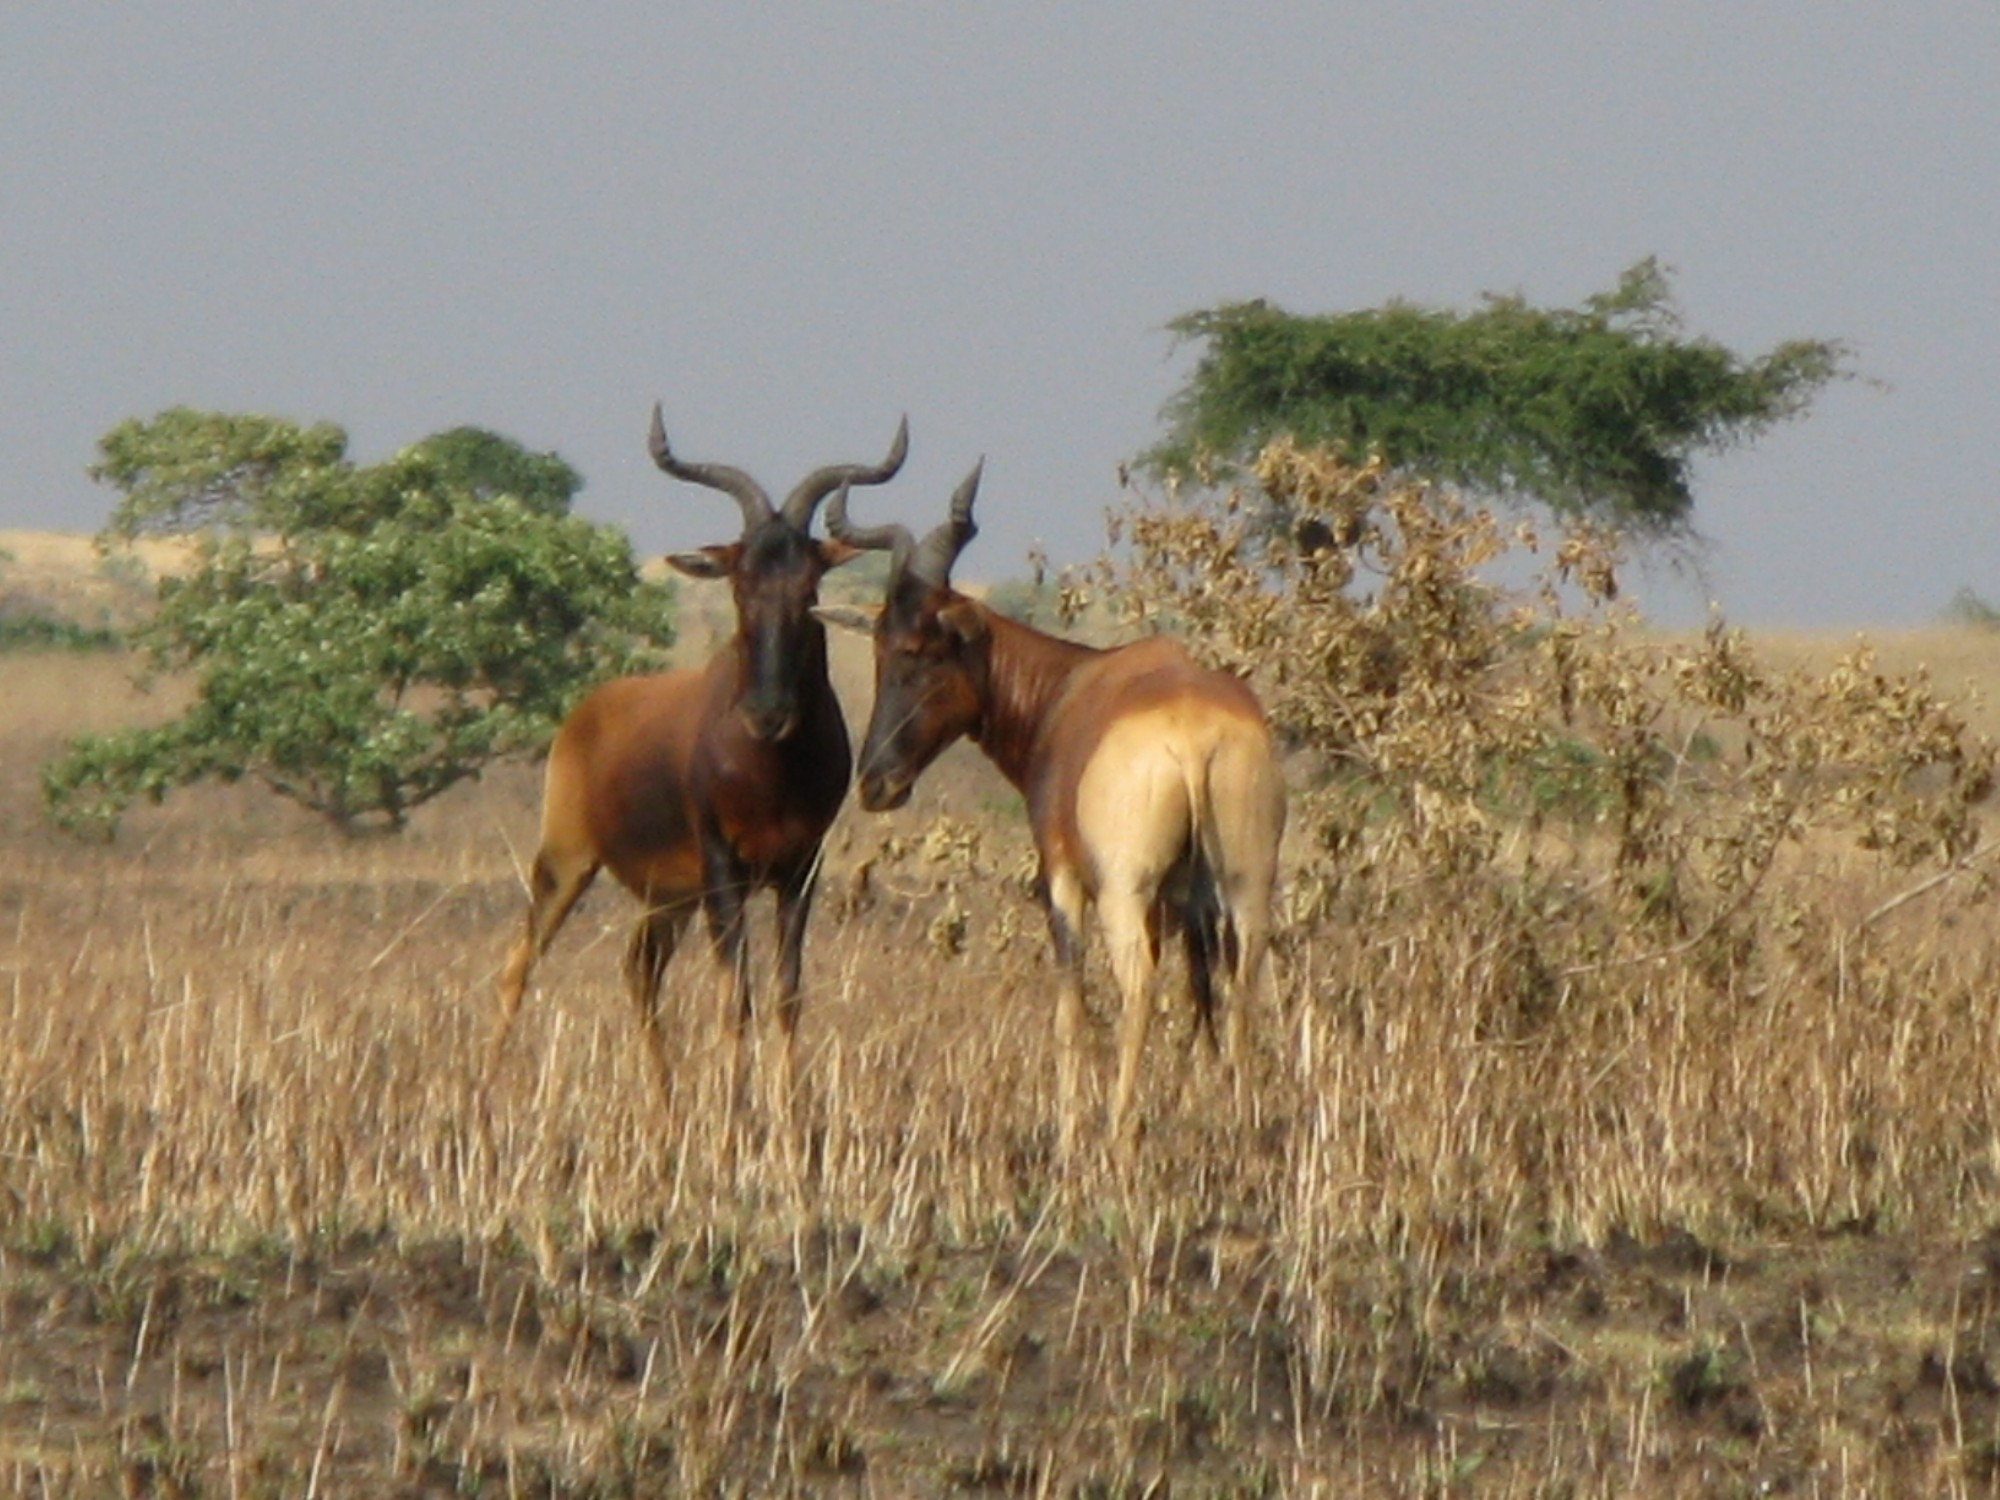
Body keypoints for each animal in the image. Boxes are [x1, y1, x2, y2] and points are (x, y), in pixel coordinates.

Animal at [496, 408, 912, 1120]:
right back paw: (483, 1093)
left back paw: (665, 1104)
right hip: (569, 860)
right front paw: (734, 1121)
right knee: (519, 963)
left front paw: (790, 1119)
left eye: (808, 587)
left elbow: (787, 993)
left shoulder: (799, 870)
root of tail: (588, 712)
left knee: (639, 971)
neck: (770, 768)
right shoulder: (724, 870)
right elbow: (736, 996)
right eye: (740, 584)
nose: (767, 714)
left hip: (669, 896)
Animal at [824, 470, 1280, 1152]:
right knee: (1240, 992)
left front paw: (1069, 1137)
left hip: (1123, 891)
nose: (878, 783)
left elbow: (1071, 1006)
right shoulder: (1183, 905)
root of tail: (1194, 736)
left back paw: (1118, 1138)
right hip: (1245, 887)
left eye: (925, 649)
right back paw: (1246, 1134)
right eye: (878, 646)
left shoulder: (1062, 879)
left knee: (1138, 989)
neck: (1072, 684)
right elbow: (1199, 998)